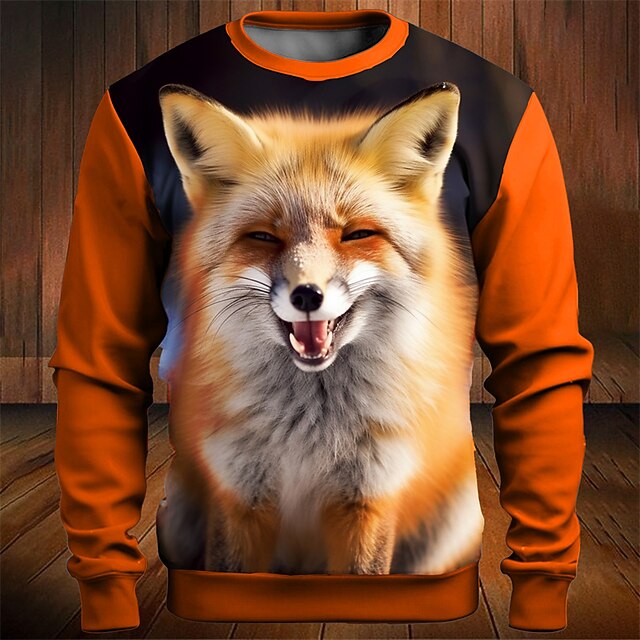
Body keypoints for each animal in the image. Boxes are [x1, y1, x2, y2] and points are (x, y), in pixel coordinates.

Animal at [154, 80, 484, 577]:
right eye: (264, 237)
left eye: (356, 234)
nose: (307, 296)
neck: (310, 434)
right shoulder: (239, 492)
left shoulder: (369, 497)